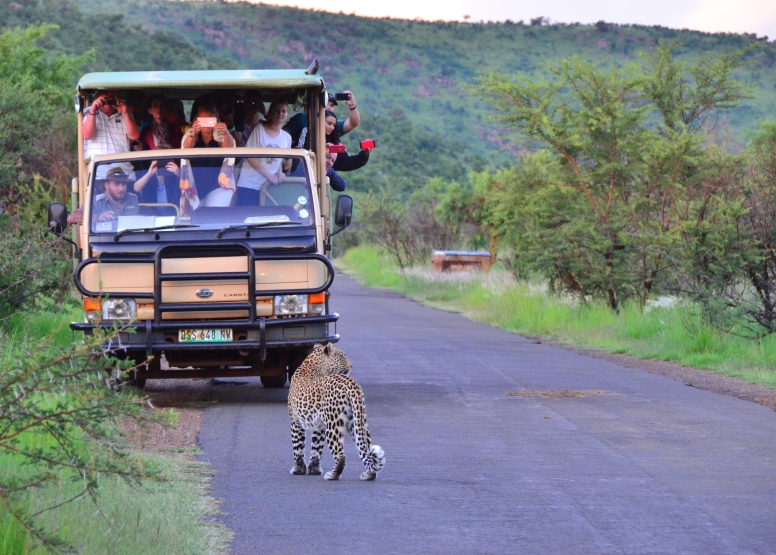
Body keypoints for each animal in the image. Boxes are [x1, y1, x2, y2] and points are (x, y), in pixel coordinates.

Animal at [288, 340, 384, 480]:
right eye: (343, 357)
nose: (352, 365)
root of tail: (352, 385)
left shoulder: (296, 421)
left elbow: (298, 447)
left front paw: (297, 469)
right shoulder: (319, 425)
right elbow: (316, 448)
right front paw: (314, 469)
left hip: (333, 424)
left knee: (340, 454)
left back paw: (332, 475)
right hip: (356, 421)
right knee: (367, 449)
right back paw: (369, 474)